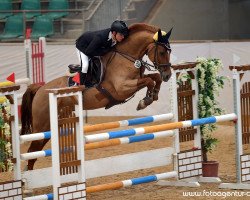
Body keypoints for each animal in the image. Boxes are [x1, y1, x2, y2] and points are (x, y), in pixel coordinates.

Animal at [21, 23, 172, 170]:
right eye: (162, 52)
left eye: (169, 52)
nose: (168, 75)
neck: (126, 57)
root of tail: (40, 89)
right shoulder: (122, 88)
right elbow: (149, 81)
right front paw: (145, 101)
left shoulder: (136, 80)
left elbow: (154, 77)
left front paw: (153, 95)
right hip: (42, 127)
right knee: (32, 151)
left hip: (50, 126)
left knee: (34, 154)